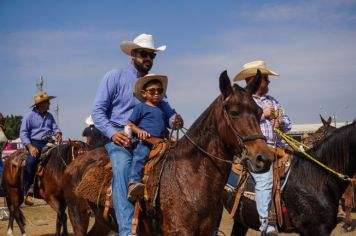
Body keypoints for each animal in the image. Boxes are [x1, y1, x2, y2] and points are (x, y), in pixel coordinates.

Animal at [62, 70, 276, 236]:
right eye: (233, 112)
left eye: (259, 112)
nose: (264, 158)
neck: (190, 177)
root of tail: (74, 164)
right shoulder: (178, 231)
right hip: (78, 216)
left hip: (101, 222)